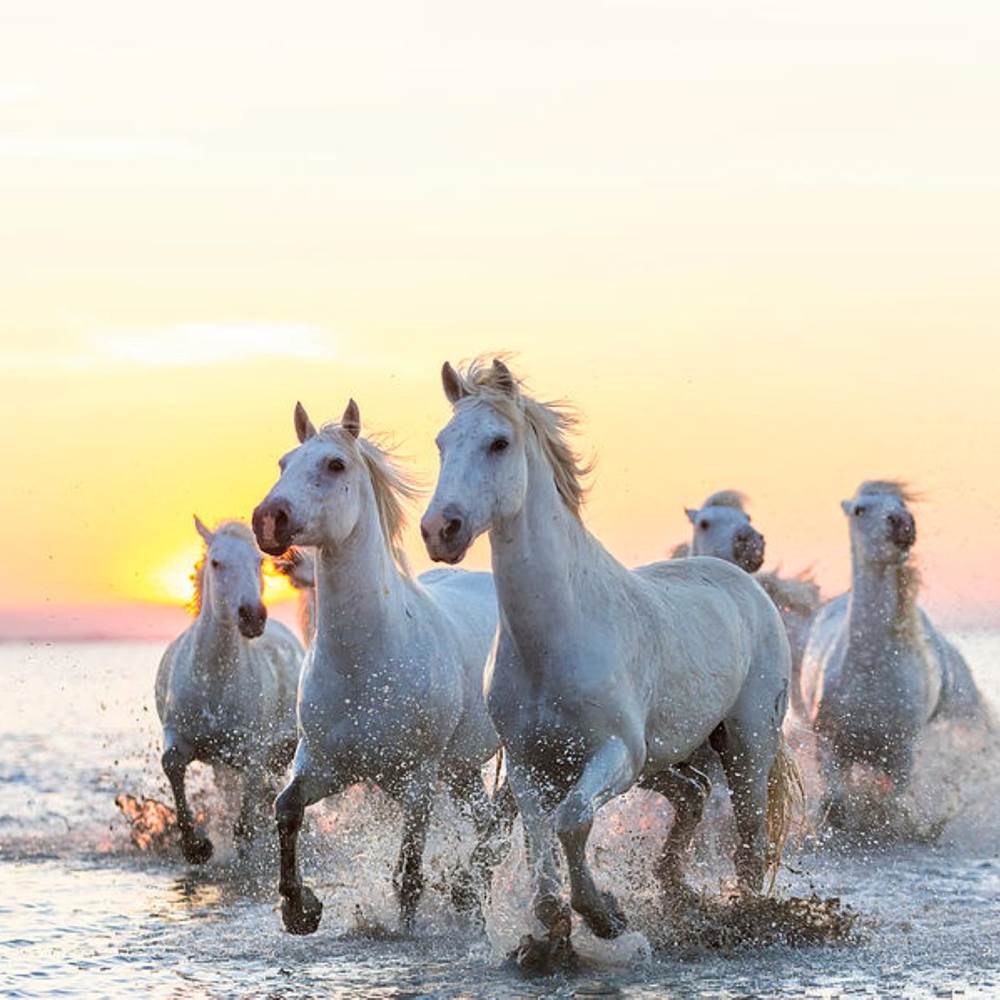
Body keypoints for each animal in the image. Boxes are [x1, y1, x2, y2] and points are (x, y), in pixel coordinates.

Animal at [155, 518, 304, 864]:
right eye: (216, 562)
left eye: (259, 561)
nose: (252, 616)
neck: (215, 680)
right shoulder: (177, 732)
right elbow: (172, 763)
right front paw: (196, 846)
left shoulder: (252, 747)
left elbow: (250, 800)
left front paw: (241, 841)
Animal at [252, 399, 515, 936]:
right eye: (284, 463)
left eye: (335, 465)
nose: (268, 519)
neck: (364, 664)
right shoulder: (325, 765)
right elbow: (286, 809)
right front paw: (300, 907)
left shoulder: (417, 780)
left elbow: (408, 875)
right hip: (461, 770)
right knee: (483, 820)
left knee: (501, 821)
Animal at [421, 358, 799, 952]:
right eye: (442, 442)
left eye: (498, 442)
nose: (441, 529)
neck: (555, 639)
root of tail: (748, 587)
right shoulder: (530, 765)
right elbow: (537, 833)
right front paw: (552, 924)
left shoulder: (614, 753)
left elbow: (572, 820)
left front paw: (604, 916)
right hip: (665, 759)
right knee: (692, 794)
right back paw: (675, 891)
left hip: (746, 744)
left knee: (750, 837)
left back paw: (744, 916)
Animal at [798, 481, 989, 826]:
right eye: (860, 510)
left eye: (902, 504)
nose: (902, 524)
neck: (870, 670)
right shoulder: (830, 746)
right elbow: (836, 804)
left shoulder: (900, 754)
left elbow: (893, 806)